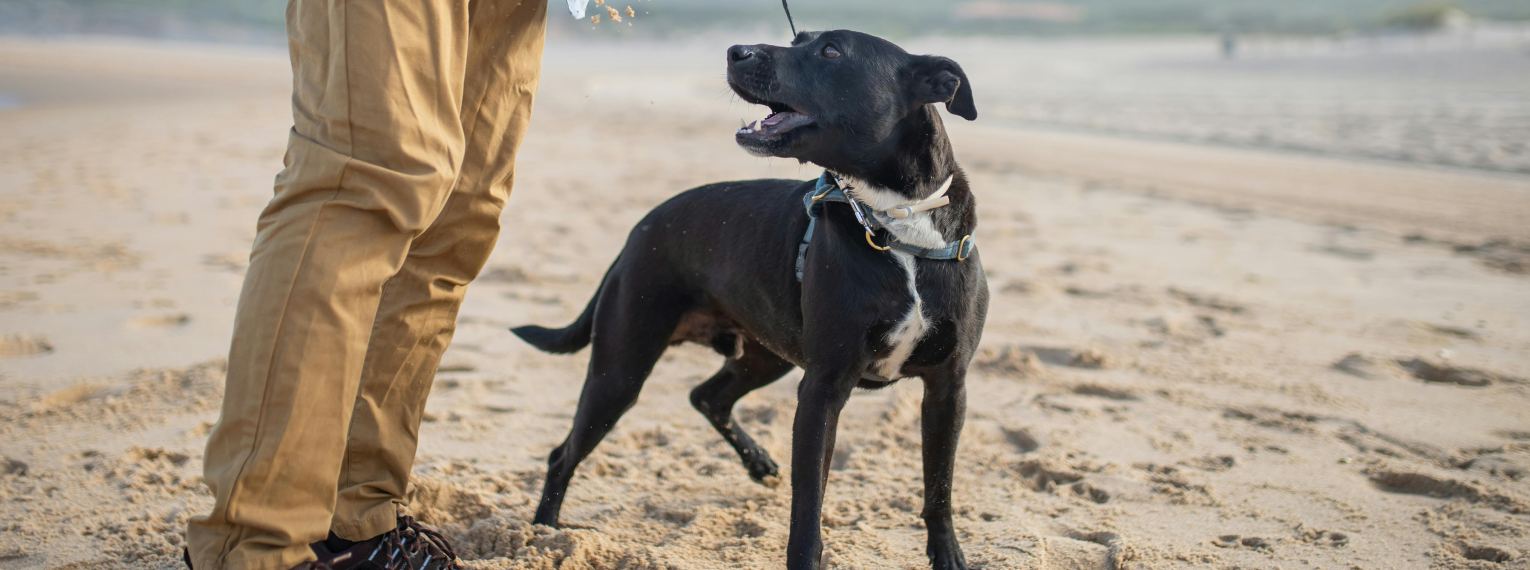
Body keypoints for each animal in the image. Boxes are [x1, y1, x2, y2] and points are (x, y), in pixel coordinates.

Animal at [514, 29, 985, 568]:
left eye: (830, 51)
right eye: (797, 38)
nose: (735, 50)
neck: (896, 220)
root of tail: (641, 228)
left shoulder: (948, 388)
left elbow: (940, 487)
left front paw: (948, 555)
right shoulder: (823, 389)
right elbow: (809, 505)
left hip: (765, 355)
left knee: (707, 396)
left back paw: (757, 462)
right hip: (619, 372)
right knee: (564, 453)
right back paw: (543, 533)